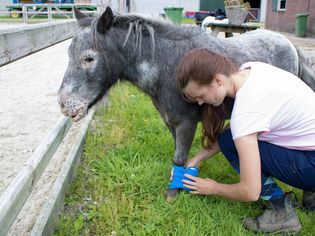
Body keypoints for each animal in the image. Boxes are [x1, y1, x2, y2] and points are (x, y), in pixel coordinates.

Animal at [59, 7, 315, 199]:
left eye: (89, 58)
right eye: (69, 54)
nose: (65, 105)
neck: (167, 66)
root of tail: (290, 45)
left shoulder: (186, 123)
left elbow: (179, 157)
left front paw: (172, 196)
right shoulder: (172, 123)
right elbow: (179, 156)